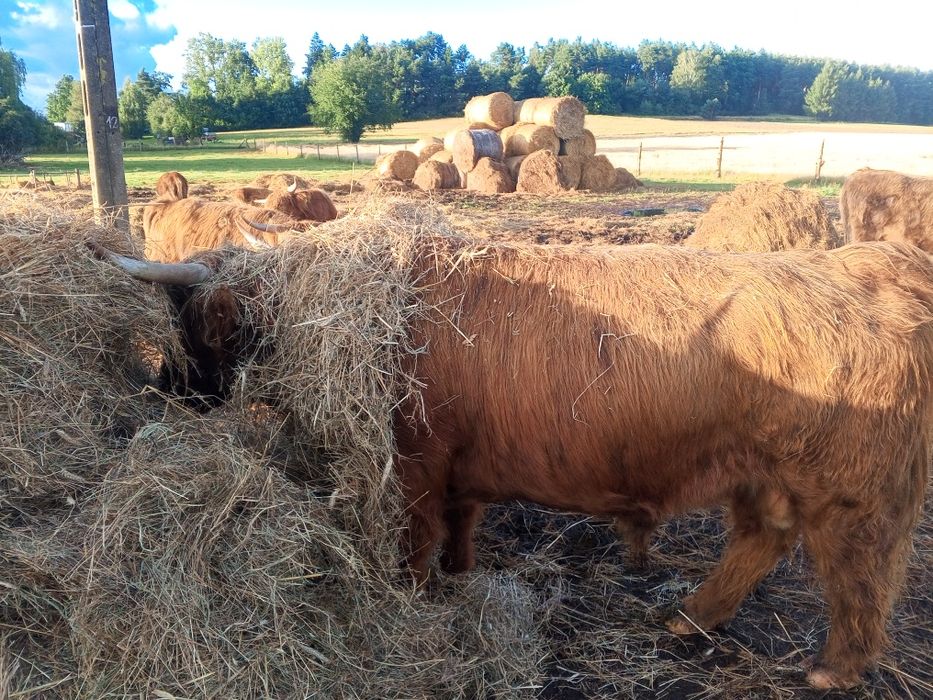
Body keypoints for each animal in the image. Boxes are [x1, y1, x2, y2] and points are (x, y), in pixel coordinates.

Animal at [90, 236, 933, 690]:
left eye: (189, 324)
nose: (161, 388)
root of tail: (879, 262)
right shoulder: (459, 467)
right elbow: (460, 528)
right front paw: (461, 578)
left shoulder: (414, 465)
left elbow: (414, 546)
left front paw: (419, 603)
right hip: (761, 473)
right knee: (761, 540)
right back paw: (686, 617)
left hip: (849, 490)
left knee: (858, 575)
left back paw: (833, 667)